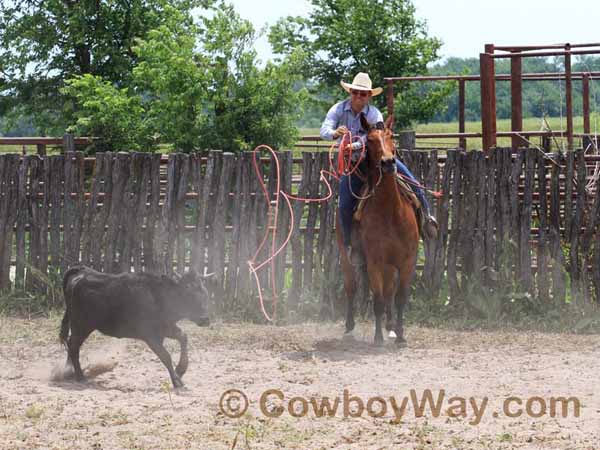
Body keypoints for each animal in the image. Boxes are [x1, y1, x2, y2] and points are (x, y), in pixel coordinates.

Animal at [336, 114, 420, 346]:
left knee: (390, 290)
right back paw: (349, 326)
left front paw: (400, 335)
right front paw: (378, 338)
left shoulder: (407, 261)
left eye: (391, 136)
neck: (391, 212)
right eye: (370, 140)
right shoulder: (374, 261)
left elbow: (399, 298)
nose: (388, 162)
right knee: (351, 287)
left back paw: (390, 325)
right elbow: (378, 300)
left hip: (390, 265)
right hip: (346, 255)